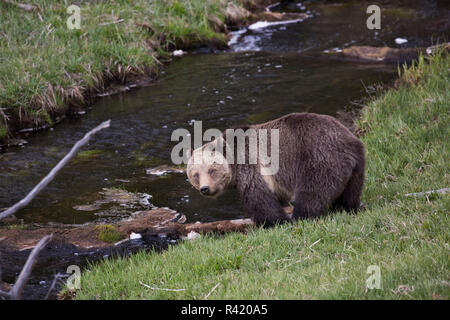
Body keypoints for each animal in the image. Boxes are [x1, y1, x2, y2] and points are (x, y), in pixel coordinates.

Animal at [186, 112, 366, 225]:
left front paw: (273, 221)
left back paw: (301, 216)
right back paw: (346, 208)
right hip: (355, 168)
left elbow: (259, 199)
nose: (205, 188)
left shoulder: (252, 166)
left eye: (211, 170)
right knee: (350, 193)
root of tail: (350, 140)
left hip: (318, 156)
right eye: (195, 174)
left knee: (312, 191)